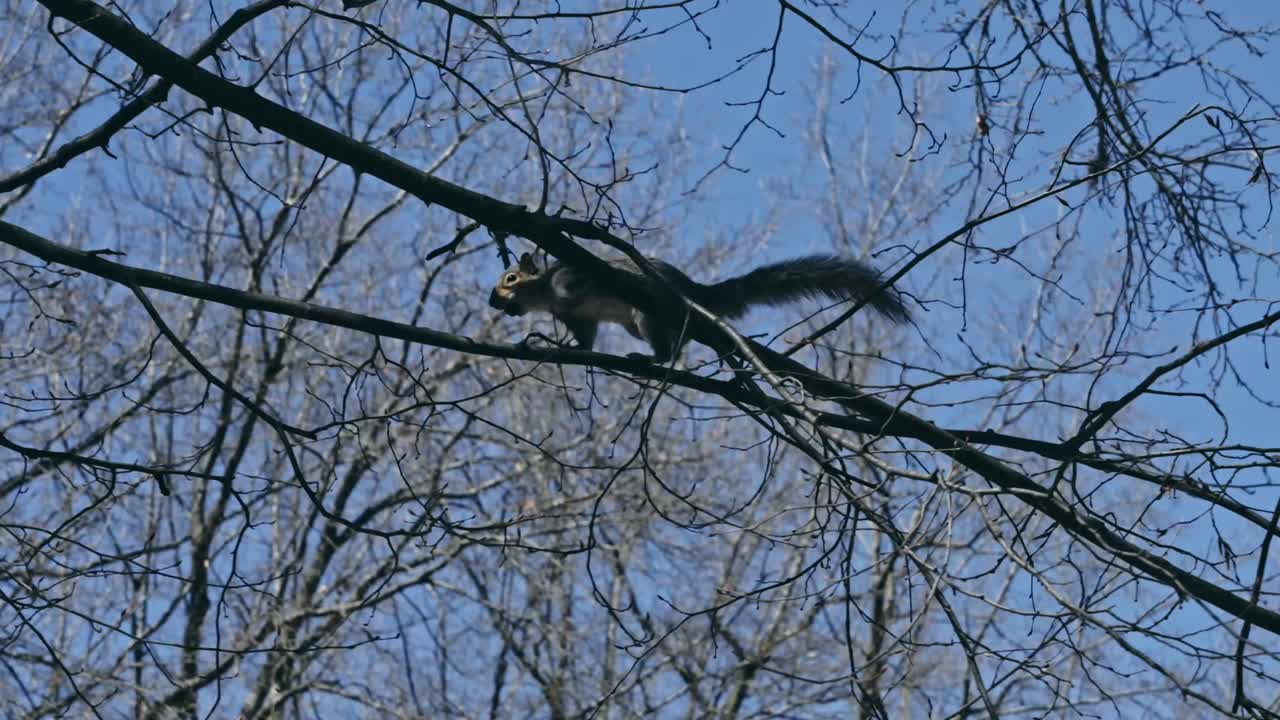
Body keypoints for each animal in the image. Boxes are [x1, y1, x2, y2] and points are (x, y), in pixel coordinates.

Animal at [488, 251, 909, 362]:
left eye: (510, 278)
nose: (492, 300)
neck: (545, 293)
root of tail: (695, 293)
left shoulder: (572, 278)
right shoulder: (575, 318)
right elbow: (585, 342)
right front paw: (559, 346)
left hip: (646, 316)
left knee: (667, 351)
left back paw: (651, 358)